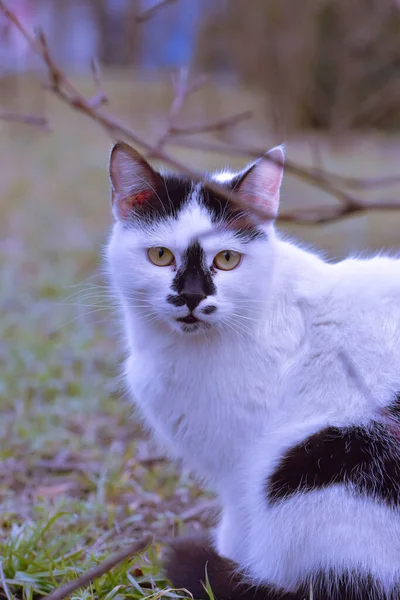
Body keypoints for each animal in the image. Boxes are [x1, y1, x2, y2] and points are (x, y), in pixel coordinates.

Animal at [105, 142, 400, 600]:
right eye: (160, 255)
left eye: (227, 259)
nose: (192, 297)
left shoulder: (240, 467)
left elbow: (238, 524)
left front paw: (229, 565)